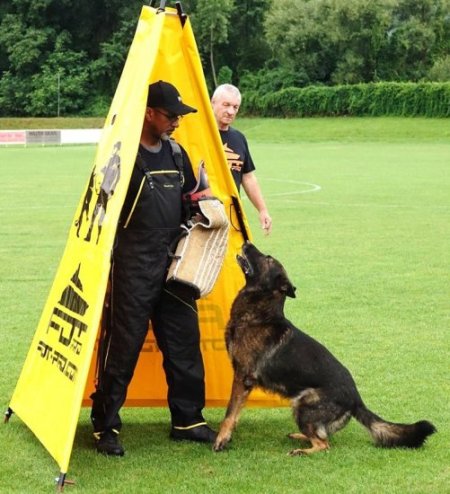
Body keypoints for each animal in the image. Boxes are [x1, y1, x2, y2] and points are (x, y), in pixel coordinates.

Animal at [214, 243, 436, 456]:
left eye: (268, 258)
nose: (247, 242)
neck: (260, 314)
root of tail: (356, 399)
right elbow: (235, 413)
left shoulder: (243, 377)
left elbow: (230, 412)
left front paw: (222, 438)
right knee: (321, 436)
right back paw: (299, 437)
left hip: (303, 404)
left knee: (324, 444)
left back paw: (302, 451)